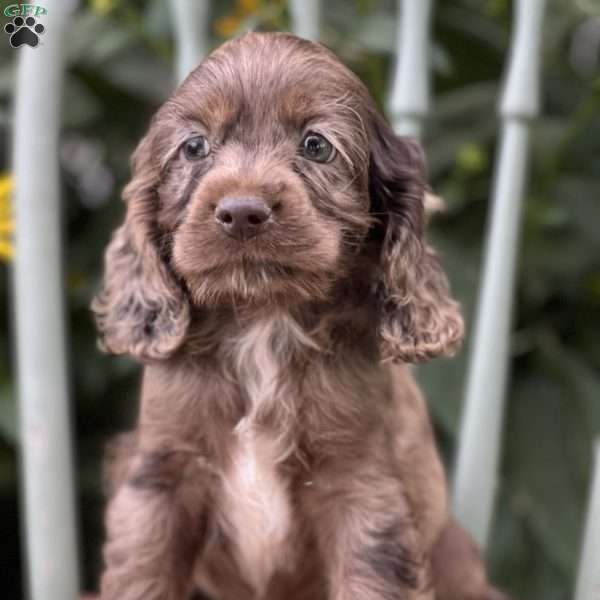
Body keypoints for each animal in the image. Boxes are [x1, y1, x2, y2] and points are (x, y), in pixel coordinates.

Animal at [92, 31, 506, 600]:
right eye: (194, 146)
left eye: (316, 145)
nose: (242, 211)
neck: (263, 319)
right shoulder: (160, 480)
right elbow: (142, 576)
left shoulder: (362, 492)